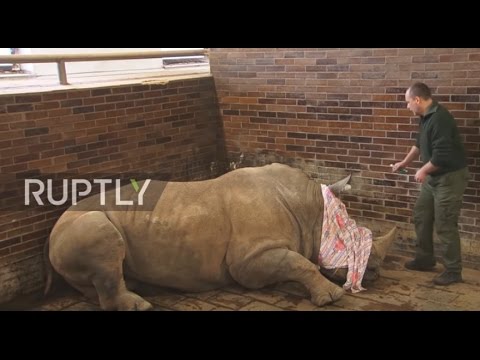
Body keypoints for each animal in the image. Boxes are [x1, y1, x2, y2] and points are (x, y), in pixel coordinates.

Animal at [45, 163, 396, 310]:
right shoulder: (250, 259)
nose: (376, 274)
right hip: (81, 225)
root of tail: (50, 235)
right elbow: (301, 263)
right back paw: (139, 304)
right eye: (349, 242)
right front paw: (331, 297)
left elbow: (295, 261)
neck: (310, 210)